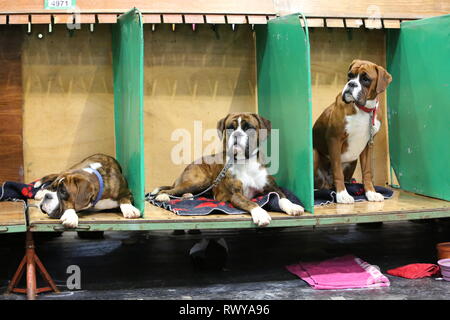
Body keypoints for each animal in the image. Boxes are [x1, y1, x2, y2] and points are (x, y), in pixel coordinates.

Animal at [153, 114, 304, 226]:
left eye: (248, 128)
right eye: (230, 128)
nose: (236, 134)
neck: (245, 162)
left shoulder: (273, 187)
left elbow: (282, 197)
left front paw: (293, 207)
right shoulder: (236, 195)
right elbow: (252, 202)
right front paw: (261, 214)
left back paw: (187, 195)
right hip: (200, 180)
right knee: (170, 190)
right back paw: (163, 196)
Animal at [314, 59, 392, 204]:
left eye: (366, 79)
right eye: (350, 75)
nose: (351, 84)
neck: (364, 110)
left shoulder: (367, 145)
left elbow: (367, 172)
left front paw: (371, 192)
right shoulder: (334, 139)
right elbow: (337, 170)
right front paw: (342, 194)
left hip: (353, 161)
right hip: (314, 153)